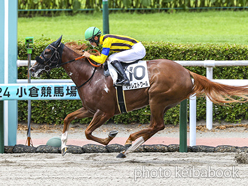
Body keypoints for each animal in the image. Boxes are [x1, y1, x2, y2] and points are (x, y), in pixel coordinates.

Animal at [30, 36, 248, 158]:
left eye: (47, 51)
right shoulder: (90, 109)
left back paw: (130, 141)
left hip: (156, 98)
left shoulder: (105, 112)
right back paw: (128, 148)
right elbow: (68, 119)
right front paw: (63, 147)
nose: (33, 69)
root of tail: (187, 72)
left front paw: (111, 136)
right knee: (156, 127)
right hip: (163, 102)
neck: (90, 76)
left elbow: (87, 133)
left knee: (157, 125)